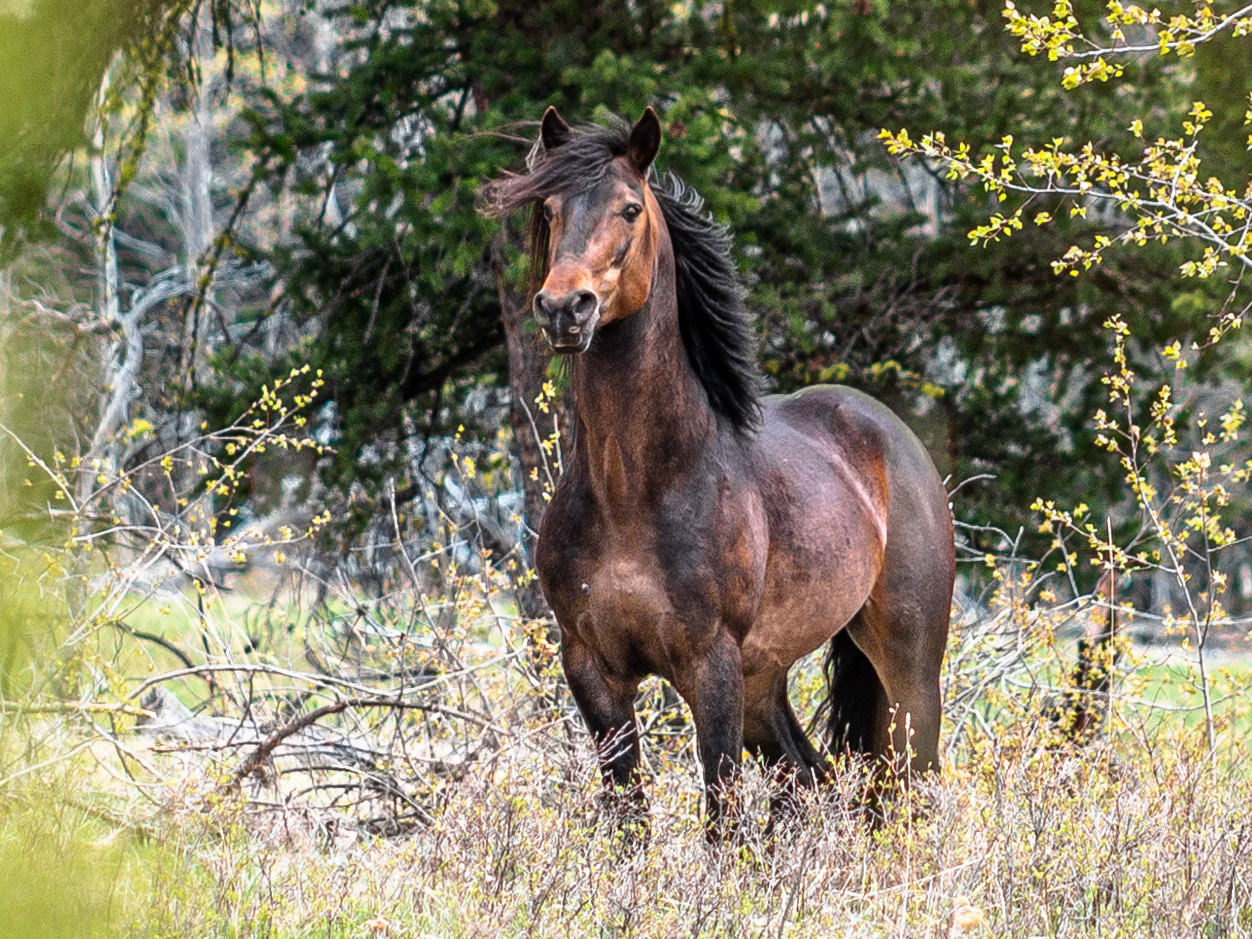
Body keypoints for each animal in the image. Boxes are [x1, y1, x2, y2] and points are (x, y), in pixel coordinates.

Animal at [485, 108, 946, 836]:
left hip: (908, 665)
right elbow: (628, 819)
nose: (564, 308)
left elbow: (722, 822)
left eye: (630, 208)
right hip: (765, 682)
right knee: (813, 777)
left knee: (908, 786)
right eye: (550, 209)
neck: (633, 492)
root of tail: (894, 437)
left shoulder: (711, 666)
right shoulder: (593, 668)